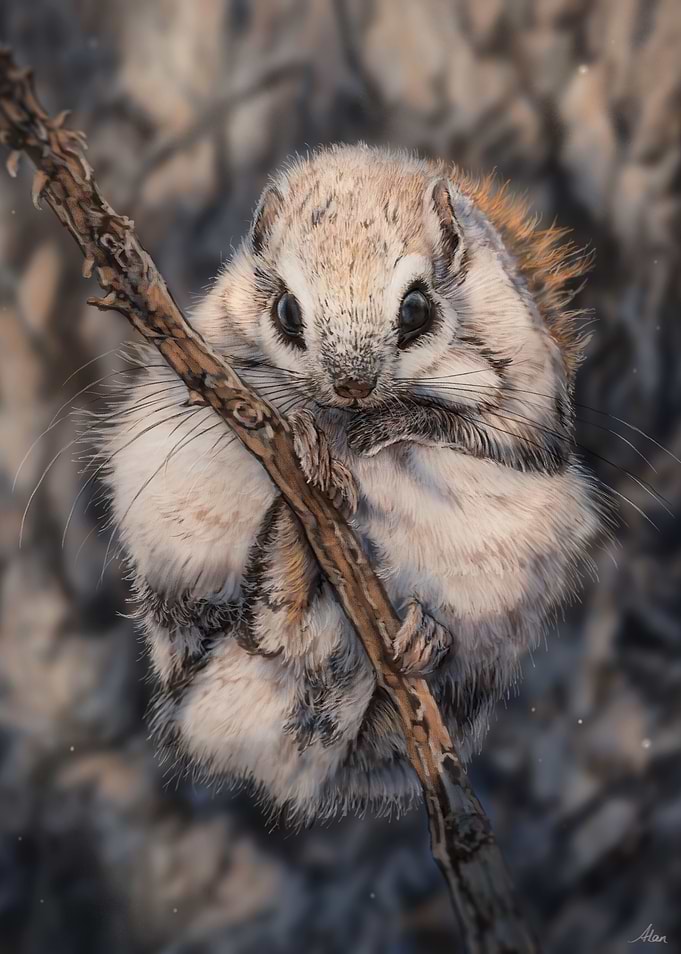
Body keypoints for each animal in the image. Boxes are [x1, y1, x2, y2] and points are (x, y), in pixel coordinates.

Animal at [100, 144, 600, 821]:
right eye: (286, 311)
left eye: (416, 309)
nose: (351, 387)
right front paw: (315, 441)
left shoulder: (529, 378)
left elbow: (506, 434)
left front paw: (382, 427)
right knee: (252, 629)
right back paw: (296, 536)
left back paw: (415, 640)